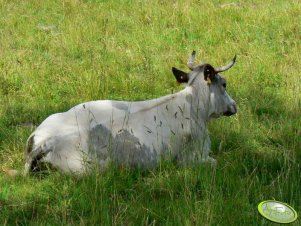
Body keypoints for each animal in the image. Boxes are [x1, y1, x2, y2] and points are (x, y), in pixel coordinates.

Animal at [24, 51, 237, 175]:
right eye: (224, 83)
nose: (234, 106)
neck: (193, 105)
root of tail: (47, 141)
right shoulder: (193, 158)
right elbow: (217, 162)